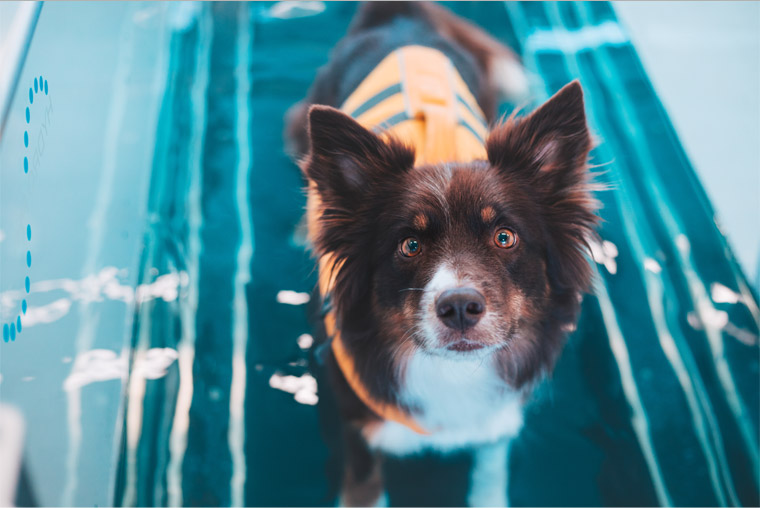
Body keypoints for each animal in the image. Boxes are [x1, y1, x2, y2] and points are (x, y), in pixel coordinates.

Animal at [286, 2, 600, 504]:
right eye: (409, 245)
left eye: (505, 237)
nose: (459, 308)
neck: (452, 371)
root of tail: (399, 15)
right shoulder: (355, 418)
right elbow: (364, 482)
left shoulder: (497, 415)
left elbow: (490, 467)